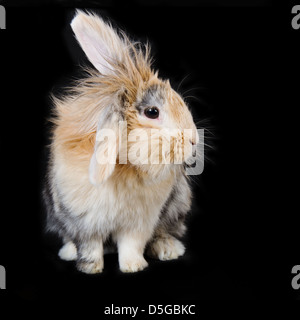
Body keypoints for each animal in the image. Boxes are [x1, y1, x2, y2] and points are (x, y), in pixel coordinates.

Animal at [43, 10, 199, 276]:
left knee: (163, 232)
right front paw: (90, 269)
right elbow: (90, 246)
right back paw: (68, 252)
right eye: (152, 112)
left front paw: (134, 267)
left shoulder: (139, 223)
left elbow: (131, 245)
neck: (126, 167)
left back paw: (168, 249)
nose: (193, 140)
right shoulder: (84, 221)